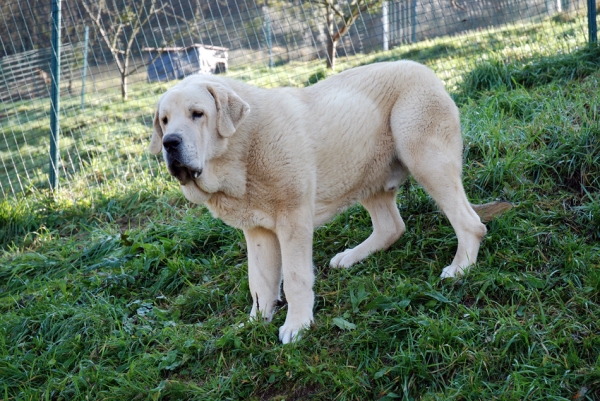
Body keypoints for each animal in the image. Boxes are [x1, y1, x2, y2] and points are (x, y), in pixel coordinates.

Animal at [150, 61, 510, 342]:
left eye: (197, 114)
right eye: (164, 121)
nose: (170, 143)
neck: (243, 144)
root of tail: (427, 71)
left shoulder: (293, 219)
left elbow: (295, 278)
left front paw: (297, 326)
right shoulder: (258, 231)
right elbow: (260, 282)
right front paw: (254, 324)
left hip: (424, 156)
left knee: (470, 223)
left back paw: (460, 267)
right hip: (366, 175)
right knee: (392, 227)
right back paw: (351, 257)